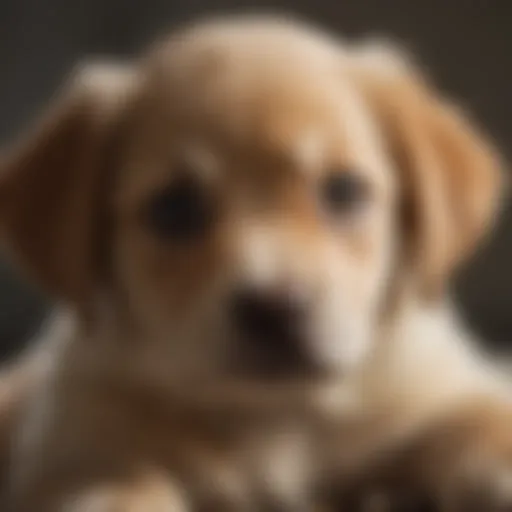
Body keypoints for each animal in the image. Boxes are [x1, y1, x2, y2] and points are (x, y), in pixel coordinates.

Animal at [0, 14, 510, 510]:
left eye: (343, 190)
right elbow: (118, 485)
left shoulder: (438, 386)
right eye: (173, 208)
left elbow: (482, 419)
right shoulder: (72, 451)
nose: (276, 307)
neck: (274, 416)